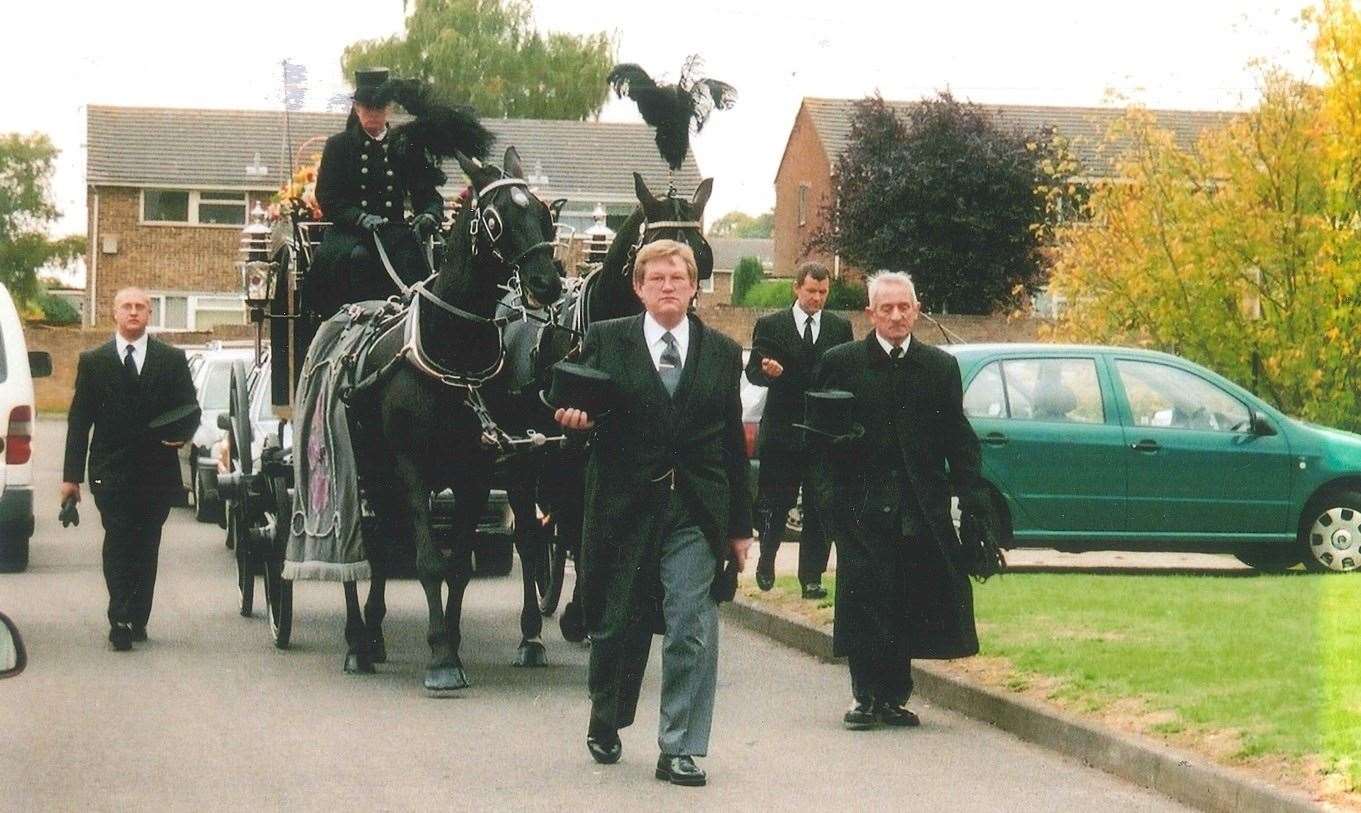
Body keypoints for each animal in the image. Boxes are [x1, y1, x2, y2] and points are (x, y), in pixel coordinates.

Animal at [348, 147, 566, 691]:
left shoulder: (476, 470)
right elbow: (428, 561)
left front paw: (450, 640)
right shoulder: (410, 464)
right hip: (365, 466)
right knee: (368, 542)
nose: (547, 283)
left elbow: (459, 565)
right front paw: (442, 657)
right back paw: (361, 640)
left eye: (543, 213)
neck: (456, 353)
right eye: (494, 218)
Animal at [498, 170, 713, 637]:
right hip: (524, 454)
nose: (681, 319)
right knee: (531, 529)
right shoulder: (575, 450)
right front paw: (580, 612)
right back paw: (534, 615)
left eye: (702, 258)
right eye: (654, 253)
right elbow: (583, 522)